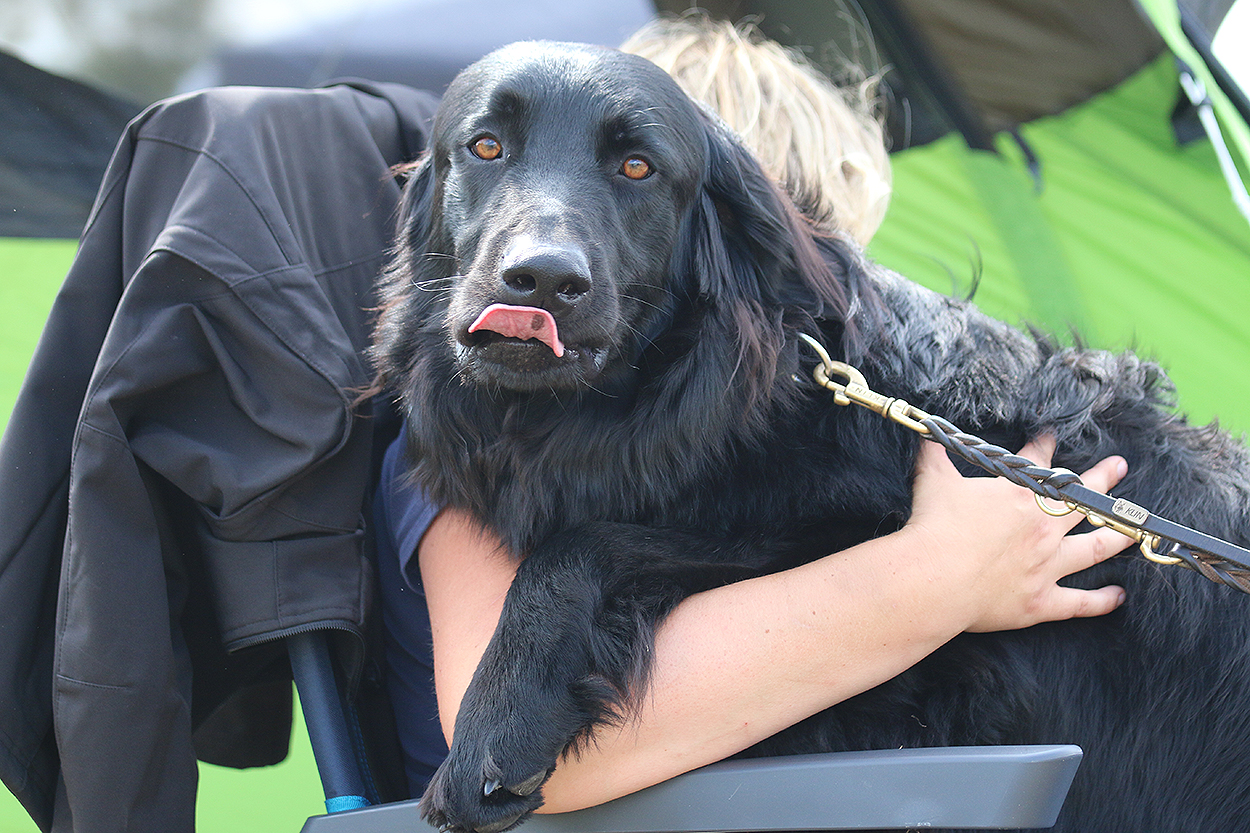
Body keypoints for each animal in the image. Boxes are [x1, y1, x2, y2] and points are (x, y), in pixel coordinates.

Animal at [371, 41, 1250, 833]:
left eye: (638, 168)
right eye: (486, 146)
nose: (543, 279)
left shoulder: (836, 535)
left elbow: (589, 542)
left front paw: (498, 721)